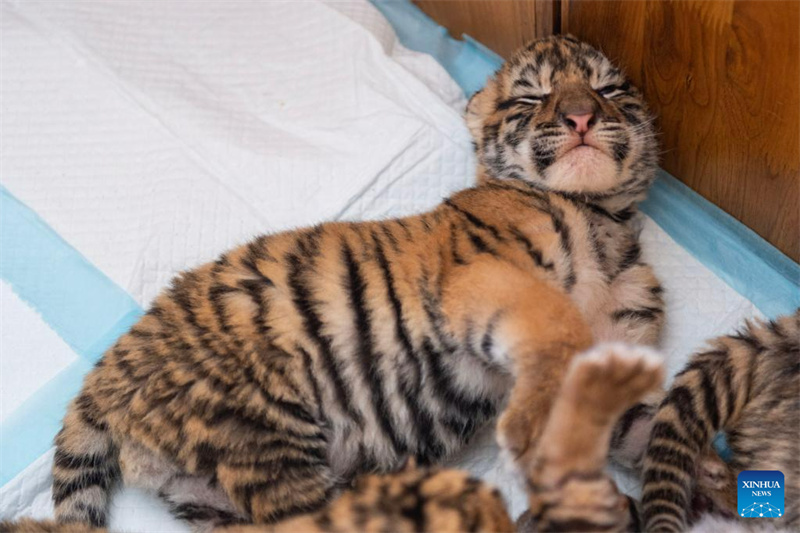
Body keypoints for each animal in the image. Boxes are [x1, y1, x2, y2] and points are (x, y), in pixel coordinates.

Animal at [42, 34, 662, 531]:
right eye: (531, 99)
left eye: (608, 88)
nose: (581, 117)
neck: (605, 221)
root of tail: (104, 376)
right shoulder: (486, 276)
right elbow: (557, 324)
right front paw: (535, 438)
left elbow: (646, 428)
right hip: (259, 427)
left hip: (209, 491)